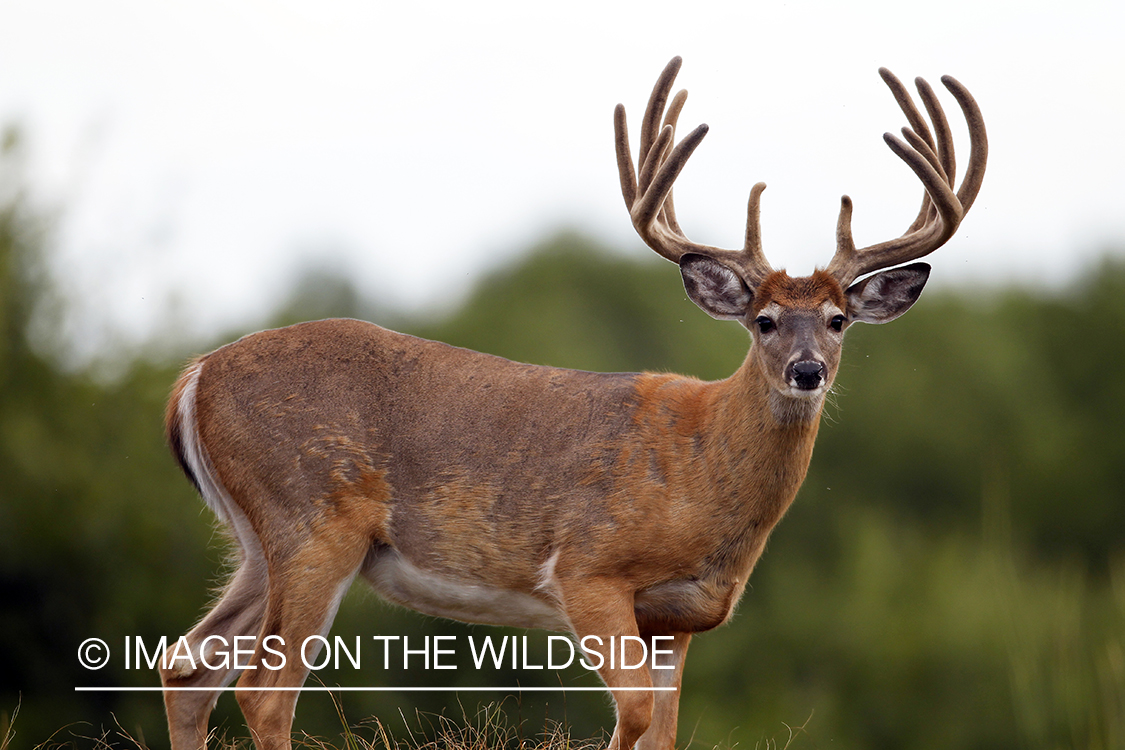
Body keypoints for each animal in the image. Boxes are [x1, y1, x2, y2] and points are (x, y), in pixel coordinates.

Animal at [158, 58, 985, 750]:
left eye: (839, 320)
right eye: (764, 321)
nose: (807, 371)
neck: (703, 473)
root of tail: (193, 378)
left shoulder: (676, 619)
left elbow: (663, 733)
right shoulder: (587, 569)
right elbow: (633, 717)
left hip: (260, 539)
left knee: (187, 666)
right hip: (312, 517)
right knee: (262, 691)